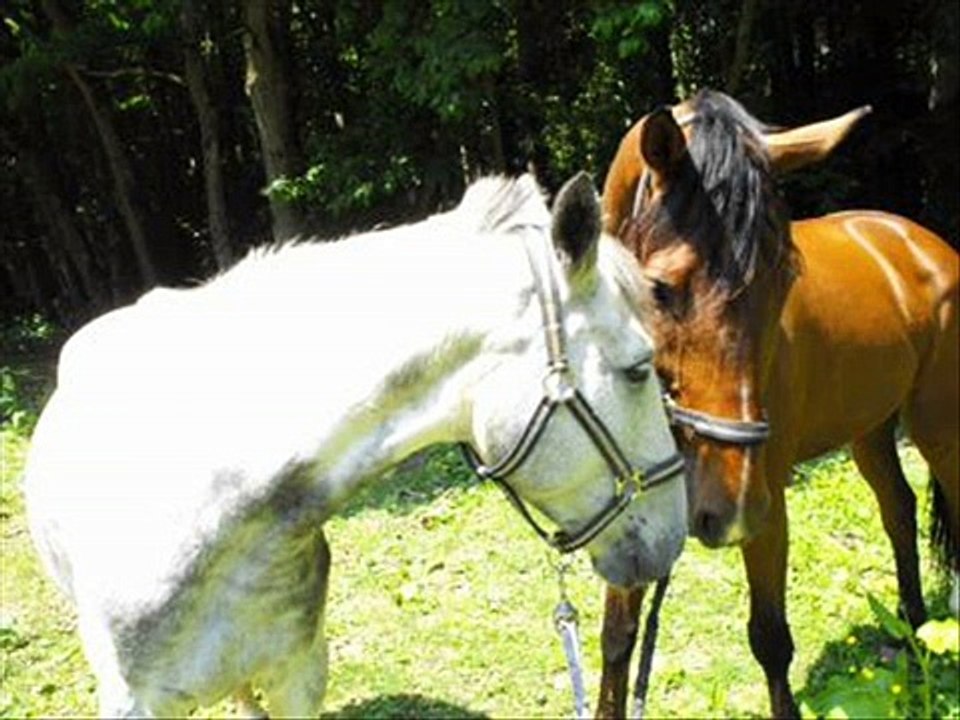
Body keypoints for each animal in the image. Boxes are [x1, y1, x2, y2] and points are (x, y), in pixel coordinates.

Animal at [595, 90, 959, 718]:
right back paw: (915, 639)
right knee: (899, 510)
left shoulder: (767, 505)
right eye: (660, 288)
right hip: (869, 431)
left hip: (938, 428)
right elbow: (618, 639)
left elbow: (769, 639)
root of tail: (920, 240)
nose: (728, 507)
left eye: (784, 279)